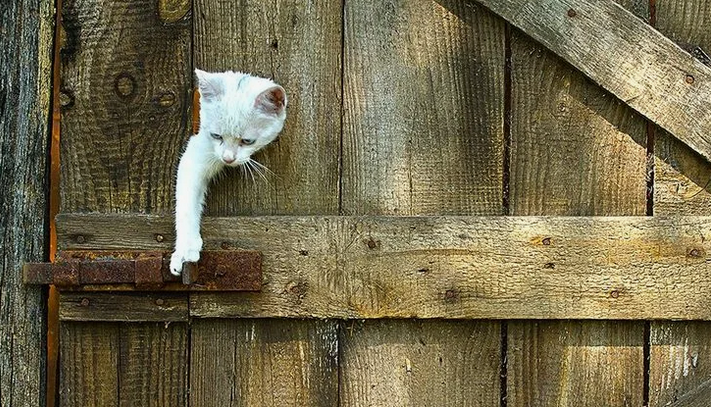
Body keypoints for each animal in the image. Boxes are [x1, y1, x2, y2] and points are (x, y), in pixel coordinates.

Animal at [170, 69, 287, 275]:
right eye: (216, 136)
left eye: (247, 141)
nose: (228, 158)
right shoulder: (196, 154)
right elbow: (185, 205)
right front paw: (184, 250)